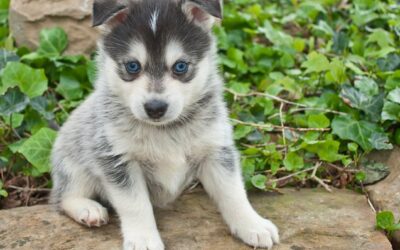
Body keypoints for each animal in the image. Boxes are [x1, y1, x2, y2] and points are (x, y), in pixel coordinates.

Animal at [51, 0, 280, 248]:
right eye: (132, 66)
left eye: (180, 66)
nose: (155, 108)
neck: (165, 130)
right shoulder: (116, 158)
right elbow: (135, 204)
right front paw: (143, 239)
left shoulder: (216, 149)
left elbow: (233, 191)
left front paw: (253, 224)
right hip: (73, 163)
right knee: (63, 197)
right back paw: (88, 209)